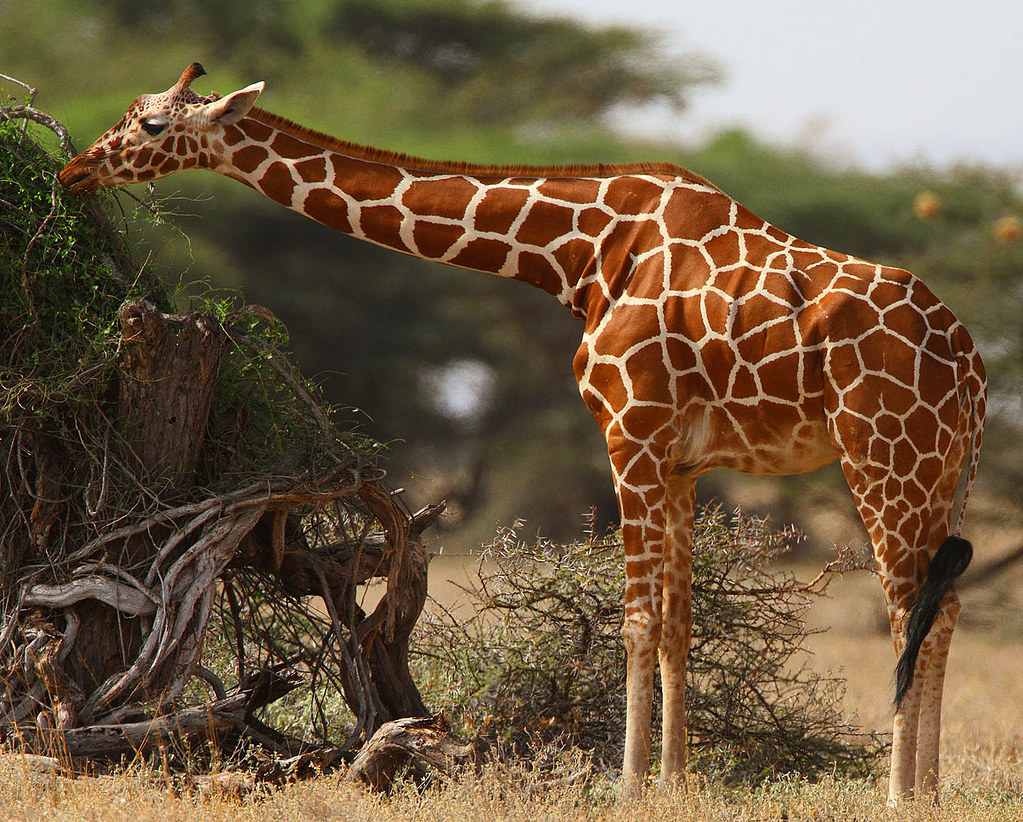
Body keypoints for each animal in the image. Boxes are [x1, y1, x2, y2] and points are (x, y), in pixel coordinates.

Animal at [61, 65, 982, 801]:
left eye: (151, 124)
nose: (75, 168)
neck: (577, 254)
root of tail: (971, 364)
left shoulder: (629, 435)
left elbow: (637, 620)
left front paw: (628, 786)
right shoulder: (680, 461)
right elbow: (678, 622)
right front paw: (677, 783)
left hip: (880, 457)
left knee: (907, 613)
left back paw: (898, 794)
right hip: (938, 471)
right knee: (944, 607)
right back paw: (931, 789)